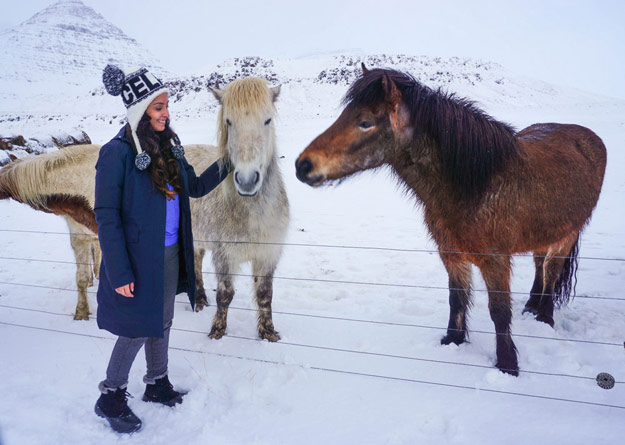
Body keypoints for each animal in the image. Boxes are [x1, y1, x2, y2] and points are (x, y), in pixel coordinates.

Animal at [294, 63, 604, 374]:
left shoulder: (496, 261)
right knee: (540, 265)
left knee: (552, 271)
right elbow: (457, 298)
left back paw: (545, 317)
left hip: (567, 234)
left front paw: (507, 364)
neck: (476, 187)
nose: (303, 165)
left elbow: (499, 311)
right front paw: (453, 340)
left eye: (365, 122)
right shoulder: (451, 254)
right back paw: (531, 306)